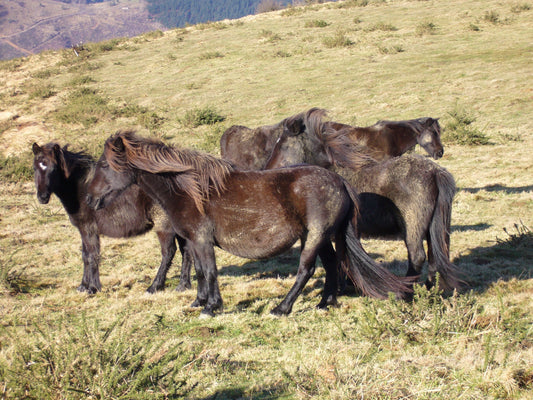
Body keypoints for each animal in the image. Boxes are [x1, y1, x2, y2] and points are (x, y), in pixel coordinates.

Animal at [31, 142, 193, 292]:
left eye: (53, 168)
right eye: (35, 168)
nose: (42, 197)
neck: (81, 189)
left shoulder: (88, 230)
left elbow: (91, 256)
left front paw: (92, 288)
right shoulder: (84, 231)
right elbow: (85, 256)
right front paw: (83, 286)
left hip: (164, 225)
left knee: (168, 252)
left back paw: (154, 287)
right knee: (186, 251)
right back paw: (183, 285)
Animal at [86, 131, 412, 316]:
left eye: (103, 164)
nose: (89, 199)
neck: (188, 189)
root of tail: (339, 180)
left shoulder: (201, 240)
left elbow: (210, 271)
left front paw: (211, 307)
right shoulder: (193, 241)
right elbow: (201, 272)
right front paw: (198, 302)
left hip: (315, 236)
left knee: (305, 270)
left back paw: (282, 308)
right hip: (319, 236)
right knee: (331, 265)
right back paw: (324, 303)